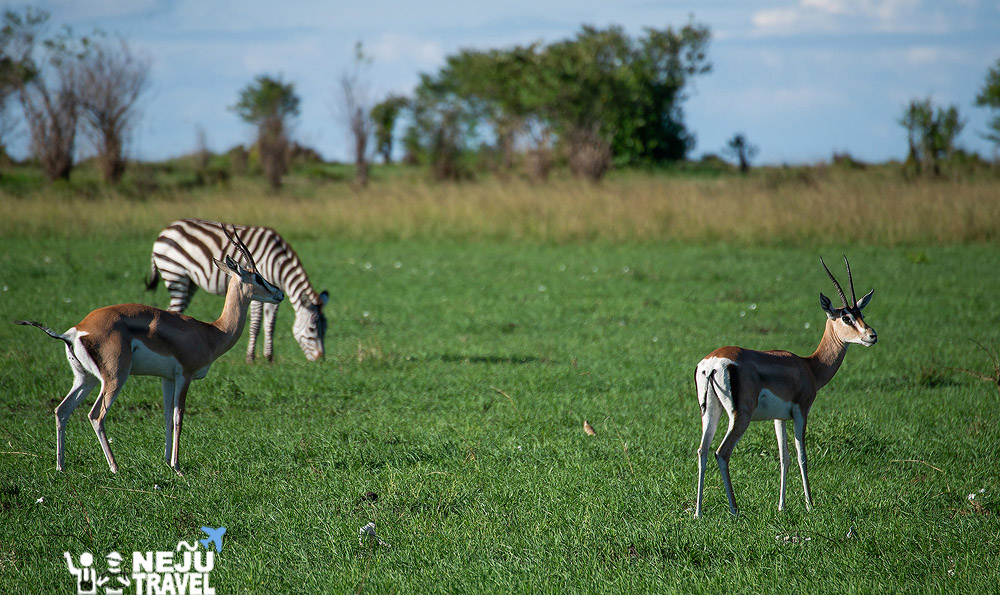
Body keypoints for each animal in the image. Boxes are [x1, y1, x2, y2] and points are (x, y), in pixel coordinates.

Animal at [145, 217, 328, 360]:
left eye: (325, 328)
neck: (277, 260)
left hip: (190, 284)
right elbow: (256, 324)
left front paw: (269, 358)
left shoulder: (272, 298)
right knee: (173, 309)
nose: (320, 358)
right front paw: (250, 358)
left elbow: (270, 324)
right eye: (312, 328)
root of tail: (164, 231)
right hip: (176, 277)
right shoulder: (258, 299)